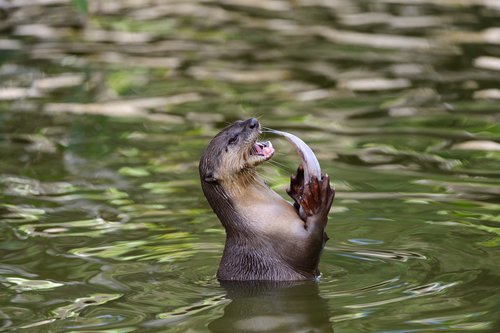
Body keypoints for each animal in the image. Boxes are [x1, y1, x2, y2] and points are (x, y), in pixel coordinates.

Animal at [199, 118, 336, 278]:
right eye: (232, 140)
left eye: (239, 121)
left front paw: (299, 187)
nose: (253, 122)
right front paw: (318, 198)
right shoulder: (293, 243)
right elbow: (311, 245)